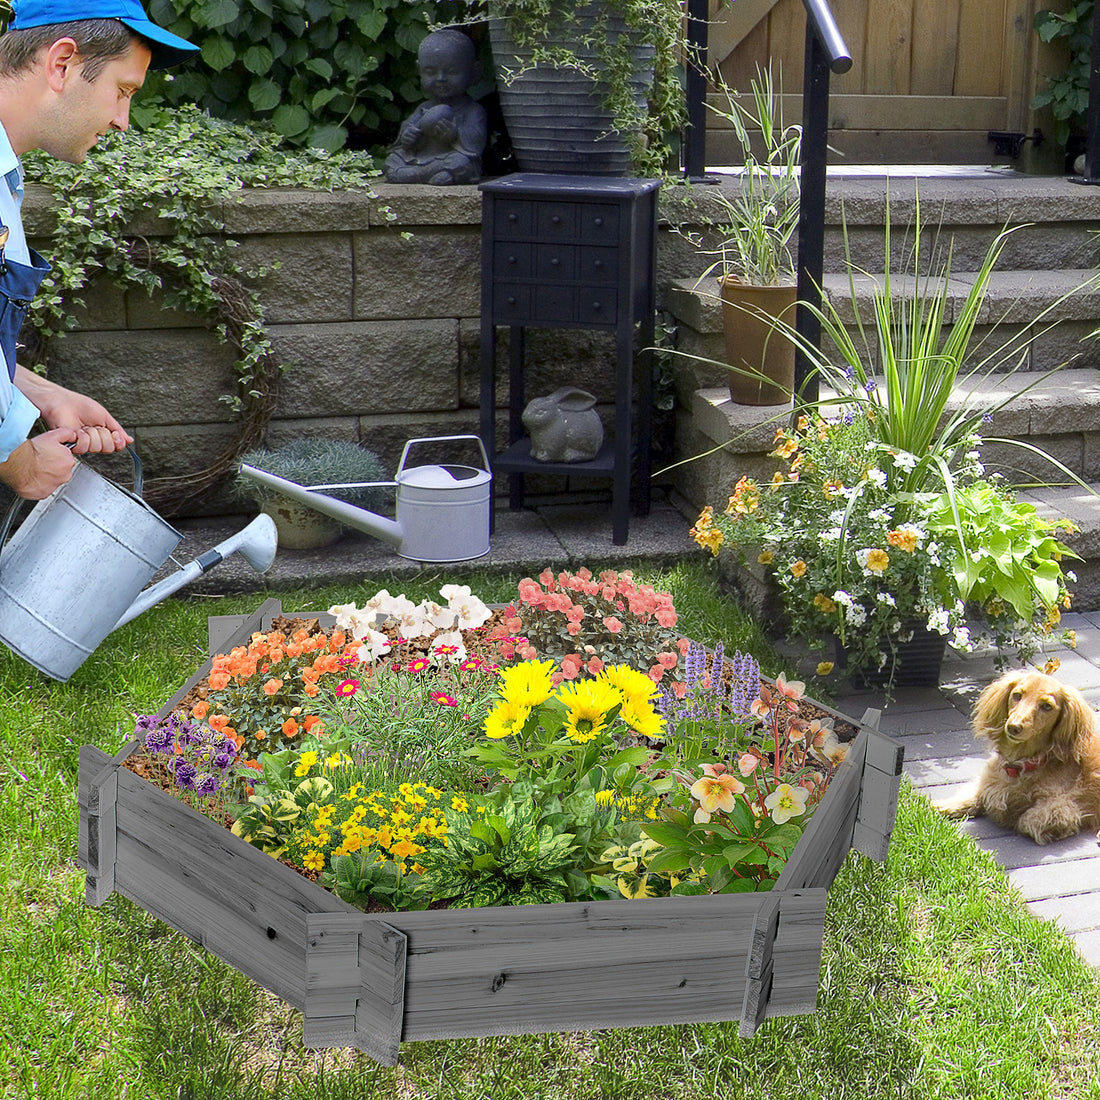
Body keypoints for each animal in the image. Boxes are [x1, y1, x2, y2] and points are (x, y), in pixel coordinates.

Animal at [932, 668, 1100, 840]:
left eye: (1047, 706)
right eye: (1017, 695)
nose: (1013, 727)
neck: (1020, 765)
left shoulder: (1062, 806)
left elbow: (1026, 820)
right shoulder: (989, 781)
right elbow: (976, 792)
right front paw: (945, 805)